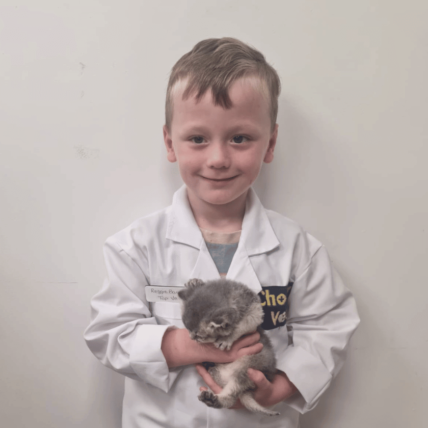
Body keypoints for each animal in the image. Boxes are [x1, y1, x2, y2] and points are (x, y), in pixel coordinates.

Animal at [179, 276, 280, 416]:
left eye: (199, 336)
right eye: (187, 329)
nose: (191, 338)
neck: (229, 294)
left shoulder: (255, 310)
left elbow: (242, 325)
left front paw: (227, 339)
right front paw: (194, 283)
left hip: (248, 367)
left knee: (232, 395)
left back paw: (216, 400)